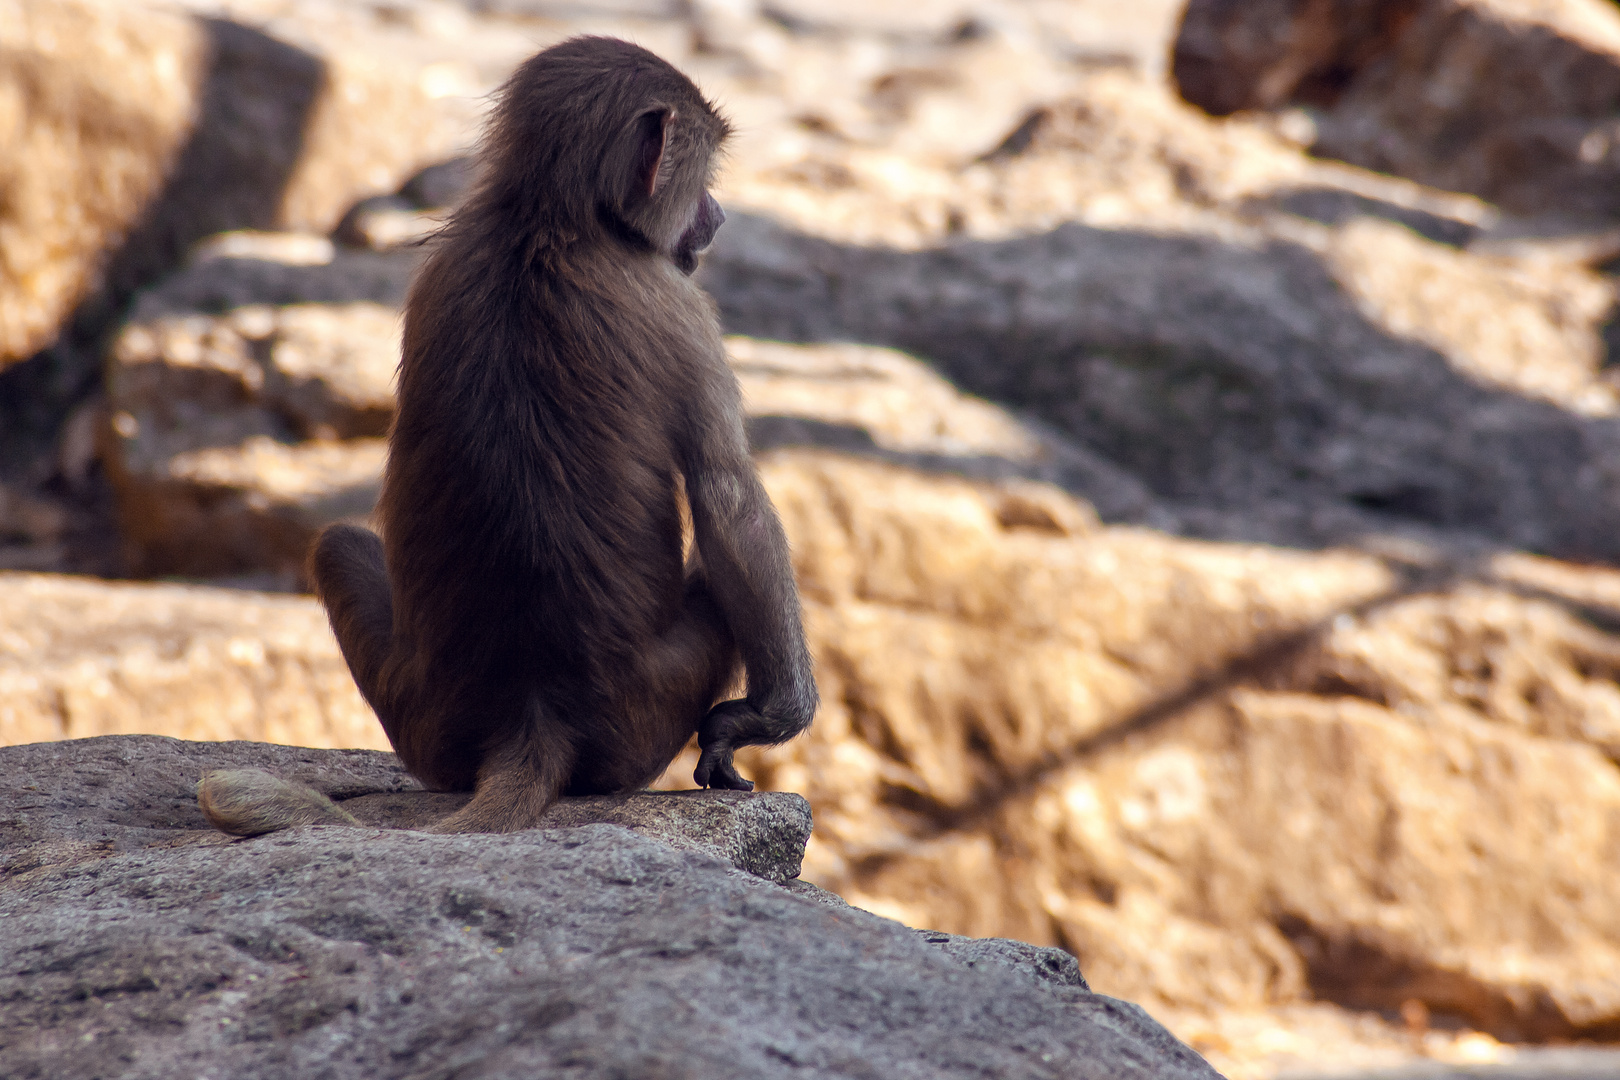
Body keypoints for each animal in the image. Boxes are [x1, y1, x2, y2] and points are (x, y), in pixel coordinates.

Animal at [196, 35, 816, 835]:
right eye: (704, 175)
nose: (717, 218)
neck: (548, 219)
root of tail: (534, 712)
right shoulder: (676, 297)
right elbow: (729, 496)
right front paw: (765, 719)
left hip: (420, 714)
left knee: (334, 545)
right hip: (649, 713)